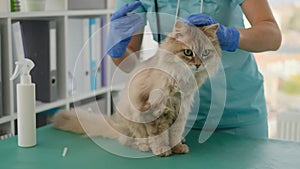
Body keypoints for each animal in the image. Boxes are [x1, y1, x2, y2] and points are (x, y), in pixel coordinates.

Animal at [51, 20, 221, 157]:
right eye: (188, 52)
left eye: (205, 53)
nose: (198, 65)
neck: (181, 79)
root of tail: (117, 127)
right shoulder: (155, 109)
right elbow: (159, 136)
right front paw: (162, 150)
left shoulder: (181, 110)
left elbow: (175, 133)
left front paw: (178, 147)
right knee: (129, 140)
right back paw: (144, 146)